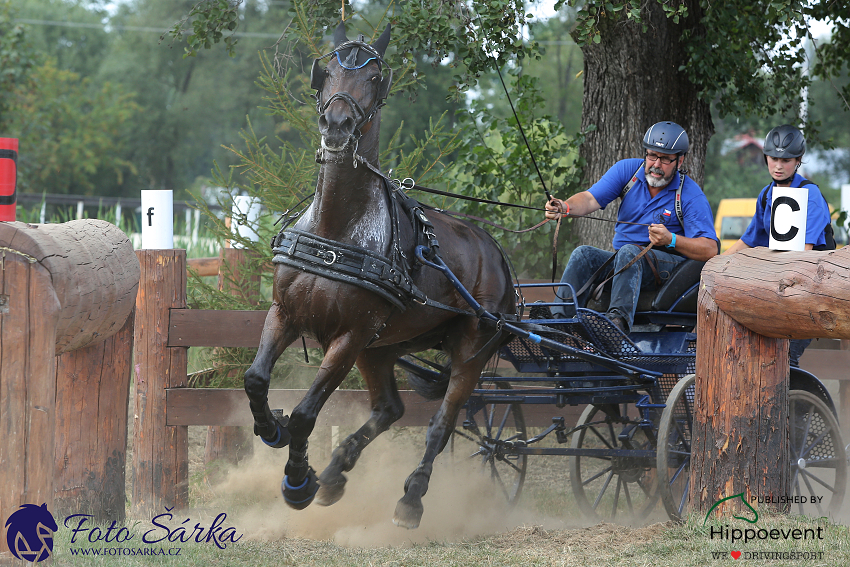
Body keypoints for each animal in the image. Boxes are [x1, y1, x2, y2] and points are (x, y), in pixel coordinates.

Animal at [242, 22, 512, 528]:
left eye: (373, 77)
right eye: (326, 71)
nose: (336, 126)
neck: (336, 228)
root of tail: (496, 254)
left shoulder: (348, 336)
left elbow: (308, 414)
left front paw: (297, 482)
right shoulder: (284, 313)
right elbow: (255, 380)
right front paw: (273, 431)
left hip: (468, 348)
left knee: (440, 423)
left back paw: (411, 498)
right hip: (382, 347)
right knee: (390, 409)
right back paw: (335, 474)